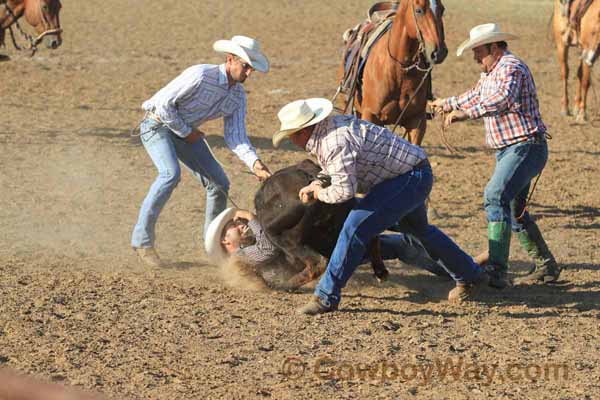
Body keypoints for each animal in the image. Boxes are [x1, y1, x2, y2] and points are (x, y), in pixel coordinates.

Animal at [338, 0, 446, 144]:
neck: (398, 70)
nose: (439, 52)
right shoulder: (370, 116)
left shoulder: (417, 122)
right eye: (418, 10)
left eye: (442, 9)